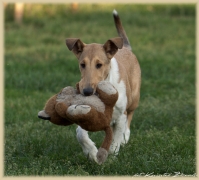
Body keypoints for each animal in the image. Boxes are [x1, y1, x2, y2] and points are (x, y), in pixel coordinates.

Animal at [66, 9, 141, 164]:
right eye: (82, 64)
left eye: (99, 65)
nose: (87, 91)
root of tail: (126, 47)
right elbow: (80, 133)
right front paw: (91, 153)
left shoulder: (121, 115)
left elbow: (115, 142)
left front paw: (110, 158)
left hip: (134, 98)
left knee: (130, 117)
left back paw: (125, 137)